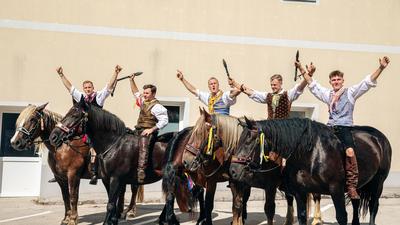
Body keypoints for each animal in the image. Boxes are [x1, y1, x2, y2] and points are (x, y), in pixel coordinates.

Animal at [9, 103, 142, 225]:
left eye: (32, 119)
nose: (15, 142)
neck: (62, 147)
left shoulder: (73, 175)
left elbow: (73, 197)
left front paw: (73, 219)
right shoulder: (60, 178)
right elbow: (65, 197)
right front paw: (66, 218)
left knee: (134, 189)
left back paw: (130, 212)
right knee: (122, 191)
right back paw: (119, 213)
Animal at [49, 100, 196, 225]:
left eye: (75, 115)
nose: (53, 136)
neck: (113, 144)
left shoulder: (115, 178)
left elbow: (110, 203)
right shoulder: (107, 179)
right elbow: (112, 202)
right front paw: (113, 219)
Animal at [230, 118, 392, 225]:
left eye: (249, 141)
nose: (233, 170)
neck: (312, 154)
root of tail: (379, 138)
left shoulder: (336, 190)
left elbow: (341, 216)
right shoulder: (300, 192)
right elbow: (301, 216)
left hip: (378, 183)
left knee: (373, 206)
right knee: (356, 203)